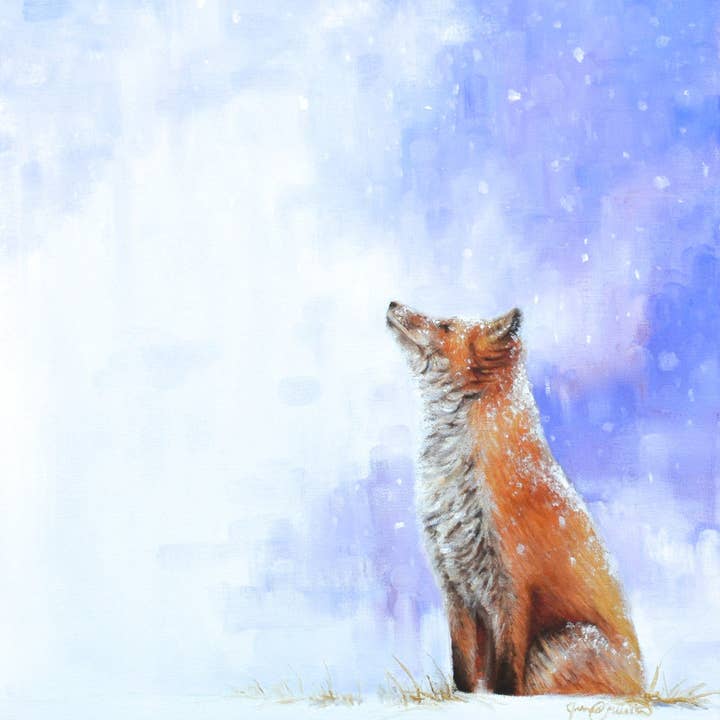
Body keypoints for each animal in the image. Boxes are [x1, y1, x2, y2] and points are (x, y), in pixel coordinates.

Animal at [386, 301, 644, 696]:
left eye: (445, 326)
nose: (392, 304)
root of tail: (645, 686)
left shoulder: (513, 585)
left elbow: (508, 674)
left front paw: (502, 701)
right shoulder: (455, 585)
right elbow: (463, 668)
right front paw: (465, 699)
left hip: (556, 645)